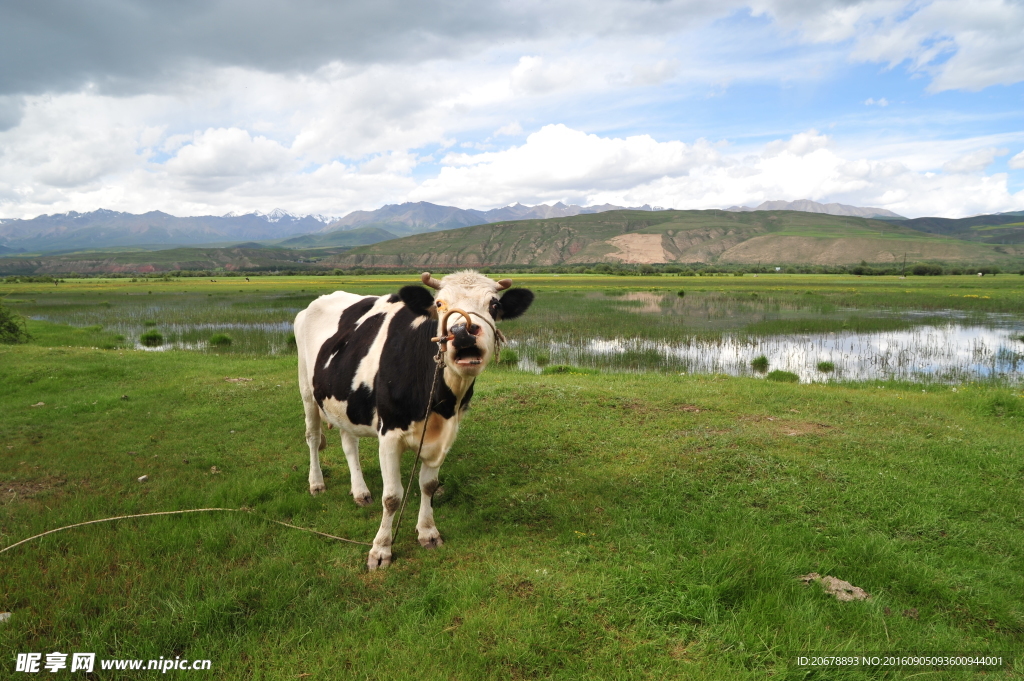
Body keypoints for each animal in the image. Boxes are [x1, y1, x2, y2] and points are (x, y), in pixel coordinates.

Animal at [294, 268, 536, 565]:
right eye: (440, 304)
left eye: (494, 305)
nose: (463, 331)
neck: (438, 404)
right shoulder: (389, 434)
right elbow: (392, 497)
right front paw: (381, 549)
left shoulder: (445, 435)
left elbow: (429, 485)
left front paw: (428, 532)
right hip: (307, 390)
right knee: (313, 438)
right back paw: (316, 483)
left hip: (342, 401)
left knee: (349, 444)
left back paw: (360, 491)